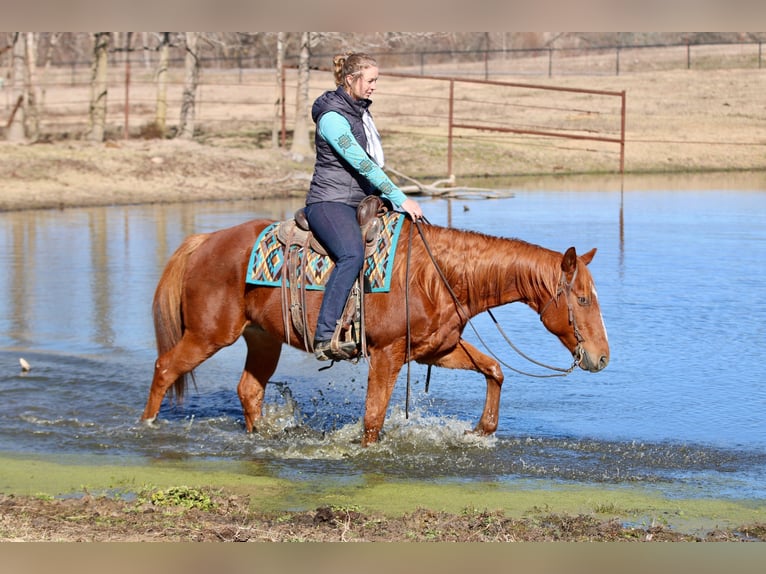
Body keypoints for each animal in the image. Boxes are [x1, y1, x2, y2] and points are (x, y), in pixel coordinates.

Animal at [140, 215, 609, 446]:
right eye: (583, 299)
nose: (602, 357)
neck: (435, 275)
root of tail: (204, 241)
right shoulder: (386, 354)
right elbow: (373, 417)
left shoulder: (436, 350)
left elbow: (494, 369)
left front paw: (481, 430)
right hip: (208, 335)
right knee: (164, 368)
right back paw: (146, 426)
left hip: (262, 339)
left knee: (248, 391)